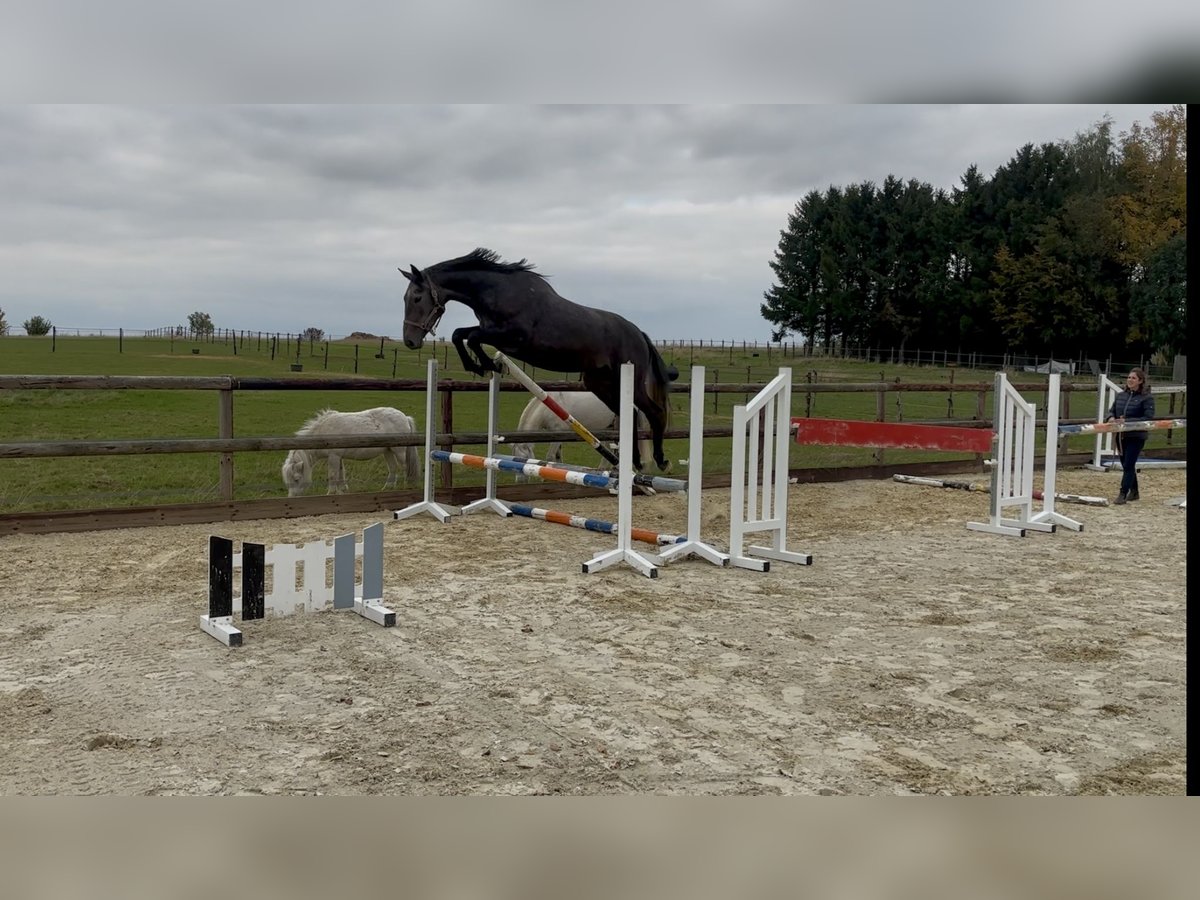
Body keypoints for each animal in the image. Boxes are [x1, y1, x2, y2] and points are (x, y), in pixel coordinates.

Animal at [281, 407, 420, 497]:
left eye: (297, 479)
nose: (291, 497)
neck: (323, 431)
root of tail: (405, 417)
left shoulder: (334, 456)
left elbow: (333, 475)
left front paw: (330, 492)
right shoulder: (338, 457)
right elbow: (341, 474)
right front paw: (342, 490)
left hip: (399, 450)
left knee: (404, 467)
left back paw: (405, 486)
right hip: (388, 451)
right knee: (393, 468)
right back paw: (387, 488)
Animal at [399, 248, 678, 471]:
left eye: (417, 297)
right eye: (405, 298)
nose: (410, 341)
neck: (497, 291)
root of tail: (639, 334)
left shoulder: (513, 337)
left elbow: (471, 337)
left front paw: (484, 365)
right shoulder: (493, 332)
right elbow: (462, 335)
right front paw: (483, 366)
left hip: (626, 379)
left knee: (654, 412)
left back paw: (661, 460)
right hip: (600, 384)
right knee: (630, 414)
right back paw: (635, 462)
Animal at [509, 391, 651, 482]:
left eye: (524, 458)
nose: (519, 481)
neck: (548, 407)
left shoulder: (558, 434)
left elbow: (550, 457)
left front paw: (545, 477)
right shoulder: (557, 436)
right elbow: (558, 456)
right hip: (609, 427)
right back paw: (604, 469)